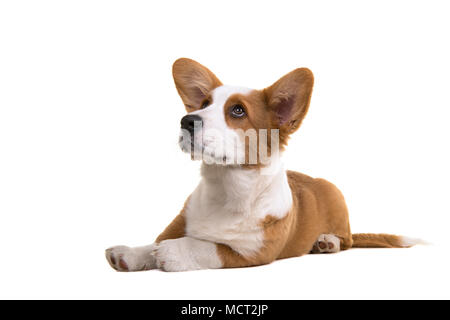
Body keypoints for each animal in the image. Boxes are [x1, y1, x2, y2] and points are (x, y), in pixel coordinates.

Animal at [105, 58, 422, 272]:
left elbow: (209, 247)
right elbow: (153, 243)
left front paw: (172, 252)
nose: (186, 121)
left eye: (237, 111)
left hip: (337, 200)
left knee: (348, 241)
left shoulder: (252, 252)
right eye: (204, 103)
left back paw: (327, 242)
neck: (226, 186)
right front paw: (131, 254)